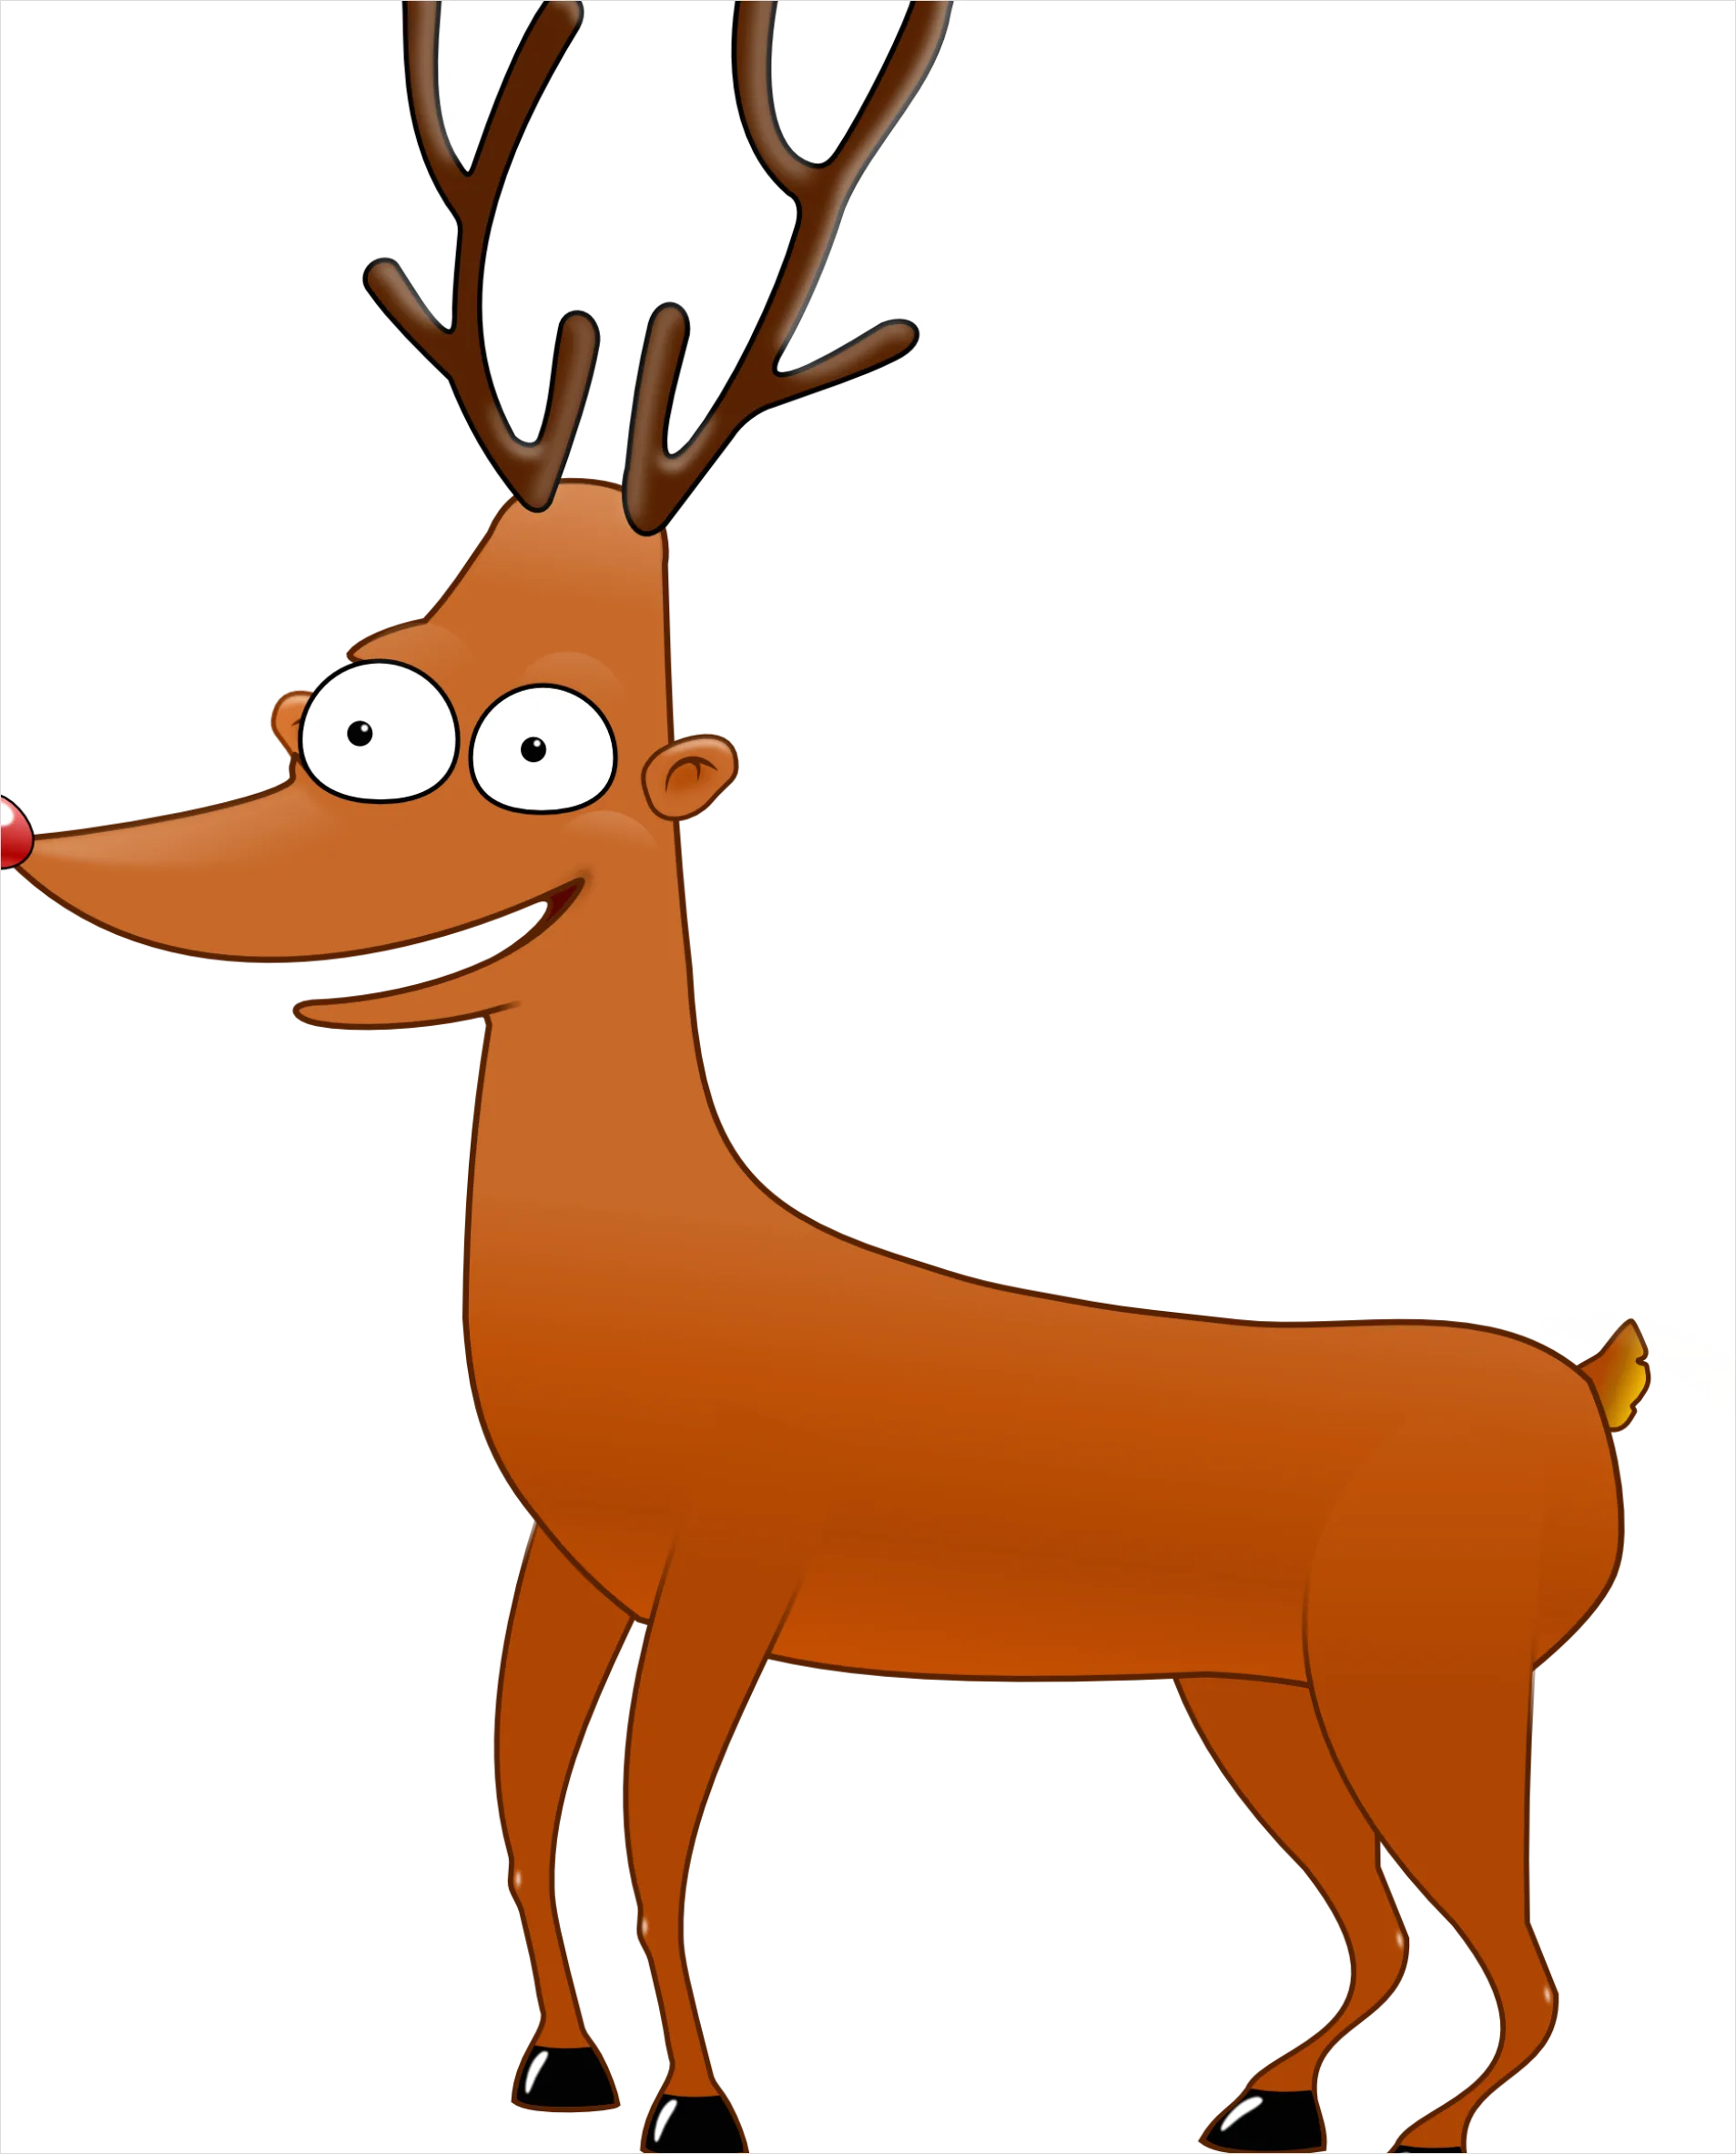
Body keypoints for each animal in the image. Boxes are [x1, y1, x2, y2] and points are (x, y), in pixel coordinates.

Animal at [3, 6, 1662, 2151]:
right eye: (347, 711)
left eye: (533, 747)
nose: (41, 842)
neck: (658, 1265)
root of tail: (1589, 1396)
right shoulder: (571, 1558)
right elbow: (520, 1784)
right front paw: (560, 2062)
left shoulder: (737, 1561)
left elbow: (650, 1817)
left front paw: (694, 2100)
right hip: (1254, 1693)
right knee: (1382, 1929)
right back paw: (1257, 2096)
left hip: (1424, 1674)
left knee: (1522, 1954)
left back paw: (1426, 2127)